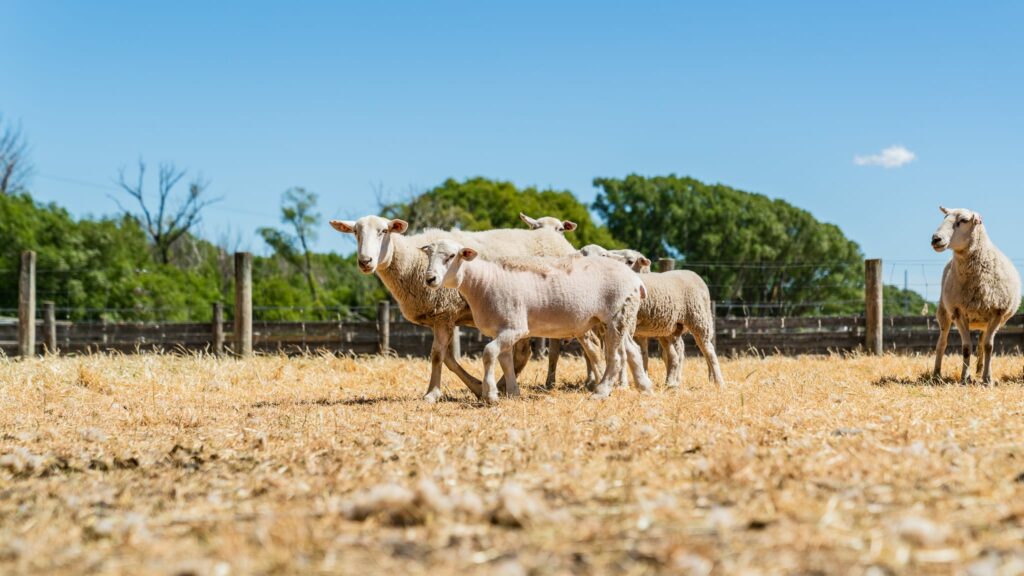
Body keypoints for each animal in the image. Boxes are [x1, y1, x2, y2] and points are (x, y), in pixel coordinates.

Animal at [331, 214, 581, 399]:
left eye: (383, 231)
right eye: (355, 233)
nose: (365, 262)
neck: (411, 260)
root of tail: (553, 236)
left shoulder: (444, 313)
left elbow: (437, 356)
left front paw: (432, 393)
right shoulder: (441, 316)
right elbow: (448, 358)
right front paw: (477, 387)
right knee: (522, 352)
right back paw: (504, 386)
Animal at [419, 239, 651, 401]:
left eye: (451, 256)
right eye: (428, 255)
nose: (430, 279)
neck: (484, 282)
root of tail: (636, 280)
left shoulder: (516, 328)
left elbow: (489, 353)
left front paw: (490, 394)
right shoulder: (502, 330)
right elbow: (505, 360)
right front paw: (513, 392)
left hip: (616, 316)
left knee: (616, 357)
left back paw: (601, 392)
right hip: (619, 319)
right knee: (632, 350)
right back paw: (644, 386)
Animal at [933, 203, 1019, 383]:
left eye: (964, 220)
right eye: (944, 218)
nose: (935, 239)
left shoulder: (997, 313)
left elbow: (988, 346)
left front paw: (987, 378)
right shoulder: (958, 312)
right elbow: (966, 347)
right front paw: (965, 378)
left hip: (985, 321)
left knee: (982, 343)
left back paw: (979, 371)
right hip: (944, 312)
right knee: (941, 343)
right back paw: (936, 374)